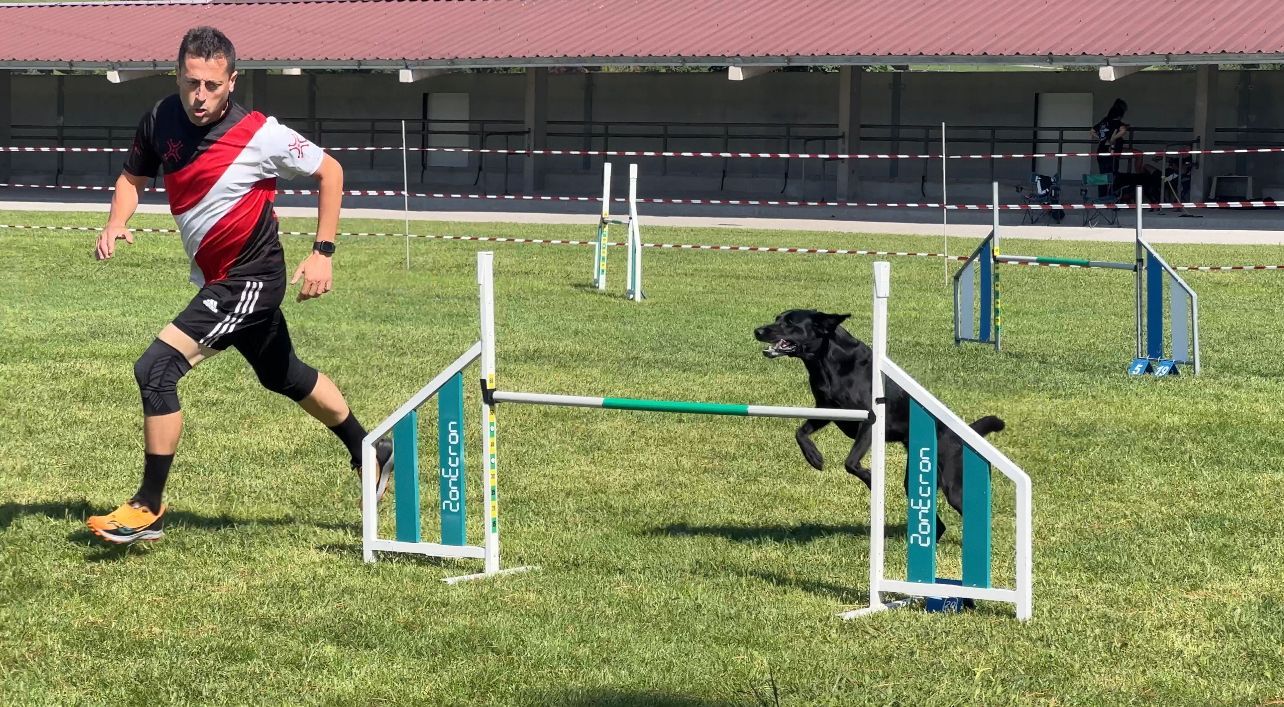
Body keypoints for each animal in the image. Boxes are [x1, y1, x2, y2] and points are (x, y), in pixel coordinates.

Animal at [749, 310, 1001, 541]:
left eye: (790, 323)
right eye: (777, 318)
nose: (757, 331)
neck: (828, 361)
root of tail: (965, 433)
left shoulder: (869, 423)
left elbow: (850, 462)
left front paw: (870, 478)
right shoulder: (826, 410)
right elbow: (800, 432)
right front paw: (814, 458)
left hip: (953, 484)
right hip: (915, 478)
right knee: (938, 523)